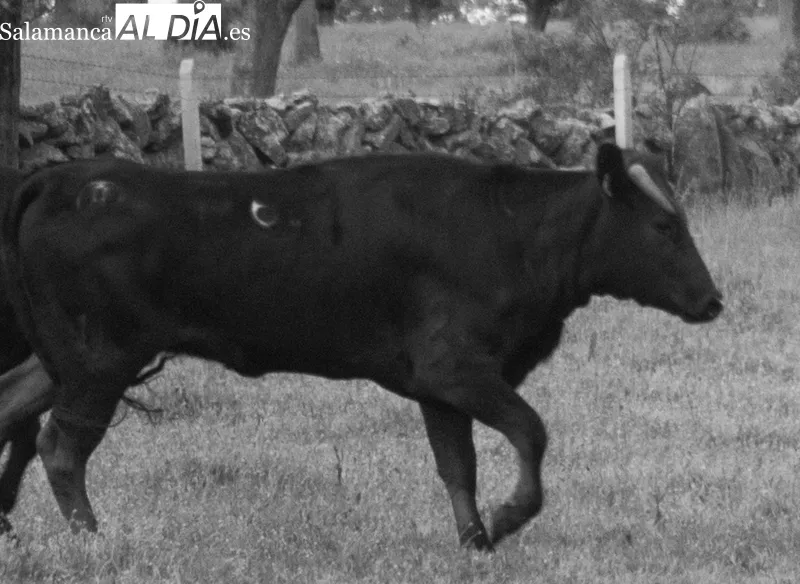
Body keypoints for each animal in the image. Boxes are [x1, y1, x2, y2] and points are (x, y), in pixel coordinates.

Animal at [0, 144, 722, 550]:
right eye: (663, 226)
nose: (712, 301)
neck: (509, 228)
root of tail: (64, 180)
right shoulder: (457, 370)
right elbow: (530, 432)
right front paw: (508, 518)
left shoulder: (438, 388)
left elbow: (458, 466)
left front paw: (475, 542)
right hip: (98, 364)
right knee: (60, 448)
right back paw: (93, 541)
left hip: (60, 364)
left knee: (15, 412)